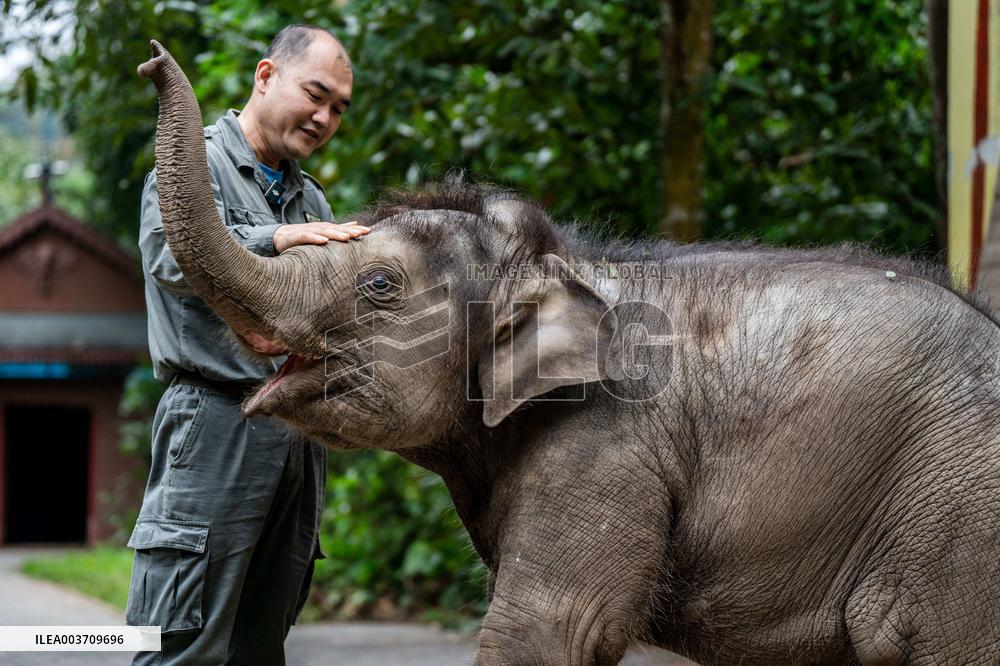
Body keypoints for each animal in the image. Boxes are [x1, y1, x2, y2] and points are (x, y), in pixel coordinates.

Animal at [138, 41, 1000, 665]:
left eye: (380, 284)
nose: (150, 58)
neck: (560, 262)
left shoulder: (609, 446)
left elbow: (548, 631)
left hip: (959, 523)